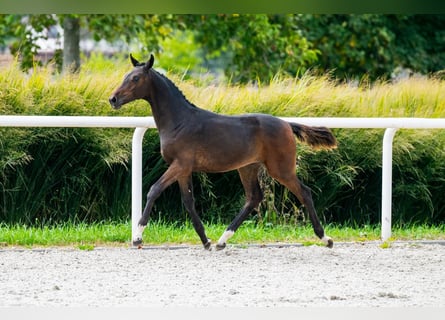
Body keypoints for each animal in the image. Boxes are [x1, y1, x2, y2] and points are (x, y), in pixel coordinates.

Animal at [108, 54, 336, 250]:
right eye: (125, 76)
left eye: (135, 78)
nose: (113, 99)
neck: (179, 121)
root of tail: (287, 124)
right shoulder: (183, 169)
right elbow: (188, 202)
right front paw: (206, 241)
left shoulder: (180, 164)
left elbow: (154, 190)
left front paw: (138, 237)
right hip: (247, 167)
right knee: (254, 198)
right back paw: (221, 240)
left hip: (281, 169)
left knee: (304, 192)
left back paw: (325, 238)